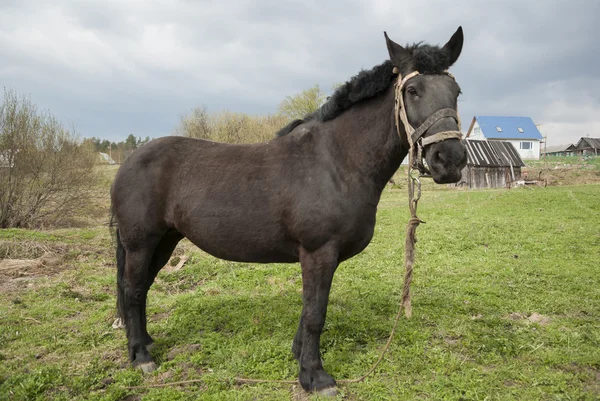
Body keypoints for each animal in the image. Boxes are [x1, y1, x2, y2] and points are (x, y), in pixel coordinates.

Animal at [111, 27, 468, 394]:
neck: (336, 162)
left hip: (165, 240)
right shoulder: (318, 251)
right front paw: (315, 376)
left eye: (456, 92)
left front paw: (299, 356)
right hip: (141, 242)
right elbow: (315, 313)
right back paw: (142, 357)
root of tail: (130, 161)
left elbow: (309, 309)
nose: (450, 160)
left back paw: (145, 343)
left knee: (141, 288)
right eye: (412, 90)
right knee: (132, 290)